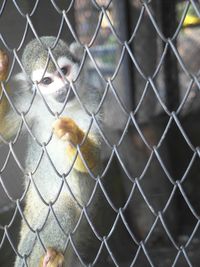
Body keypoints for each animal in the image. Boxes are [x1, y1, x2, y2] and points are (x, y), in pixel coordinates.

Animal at [0, 36, 106, 266]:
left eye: (64, 71)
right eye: (48, 81)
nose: (64, 87)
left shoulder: (93, 102)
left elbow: (94, 163)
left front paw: (74, 136)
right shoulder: (29, 105)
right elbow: (3, 129)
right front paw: (1, 70)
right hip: (30, 241)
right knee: (63, 207)